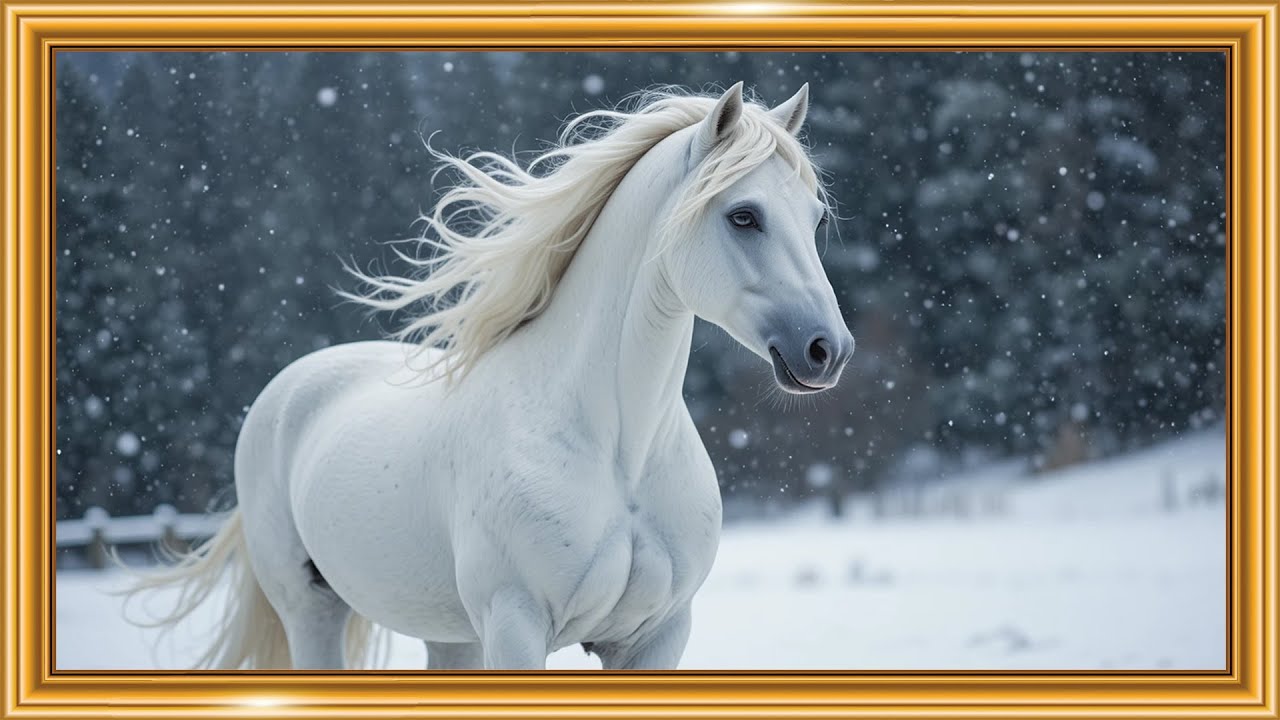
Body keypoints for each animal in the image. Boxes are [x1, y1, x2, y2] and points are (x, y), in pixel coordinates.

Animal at [127, 82, 855, 670]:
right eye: (743, 215)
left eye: (815, 217)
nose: (828, 350)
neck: (619, 455)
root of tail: (287, 391)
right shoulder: (515, 626)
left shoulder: (657, 636)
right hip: (312, 610)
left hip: (448, 634)